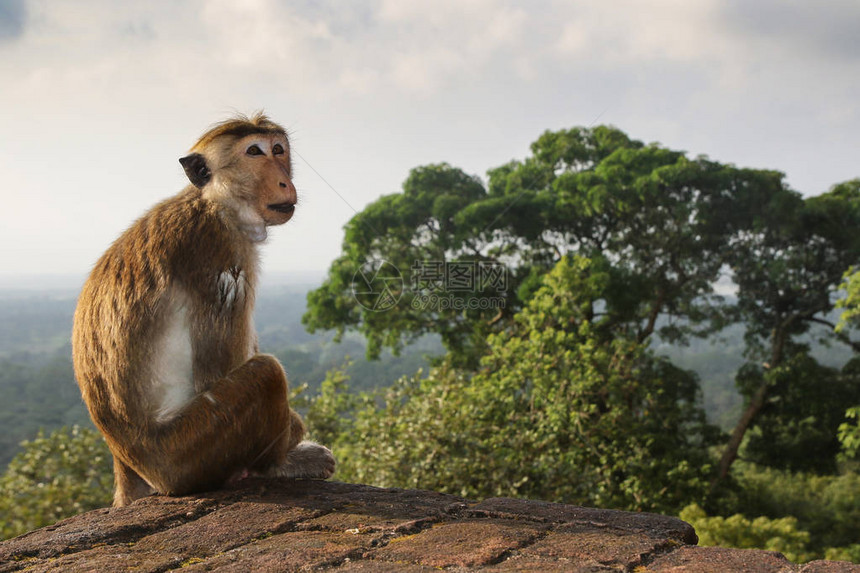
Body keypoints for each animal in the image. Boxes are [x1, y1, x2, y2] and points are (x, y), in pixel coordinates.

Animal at [71, 111, 336, 504]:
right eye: (254, 152)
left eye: (278, 149)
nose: (284, 181)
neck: (215, 204)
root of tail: (129, 465)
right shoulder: (221, 251)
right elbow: (217, 372)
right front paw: (294, 435)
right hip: (191, 451)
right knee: (267, 373)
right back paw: (278, 465)